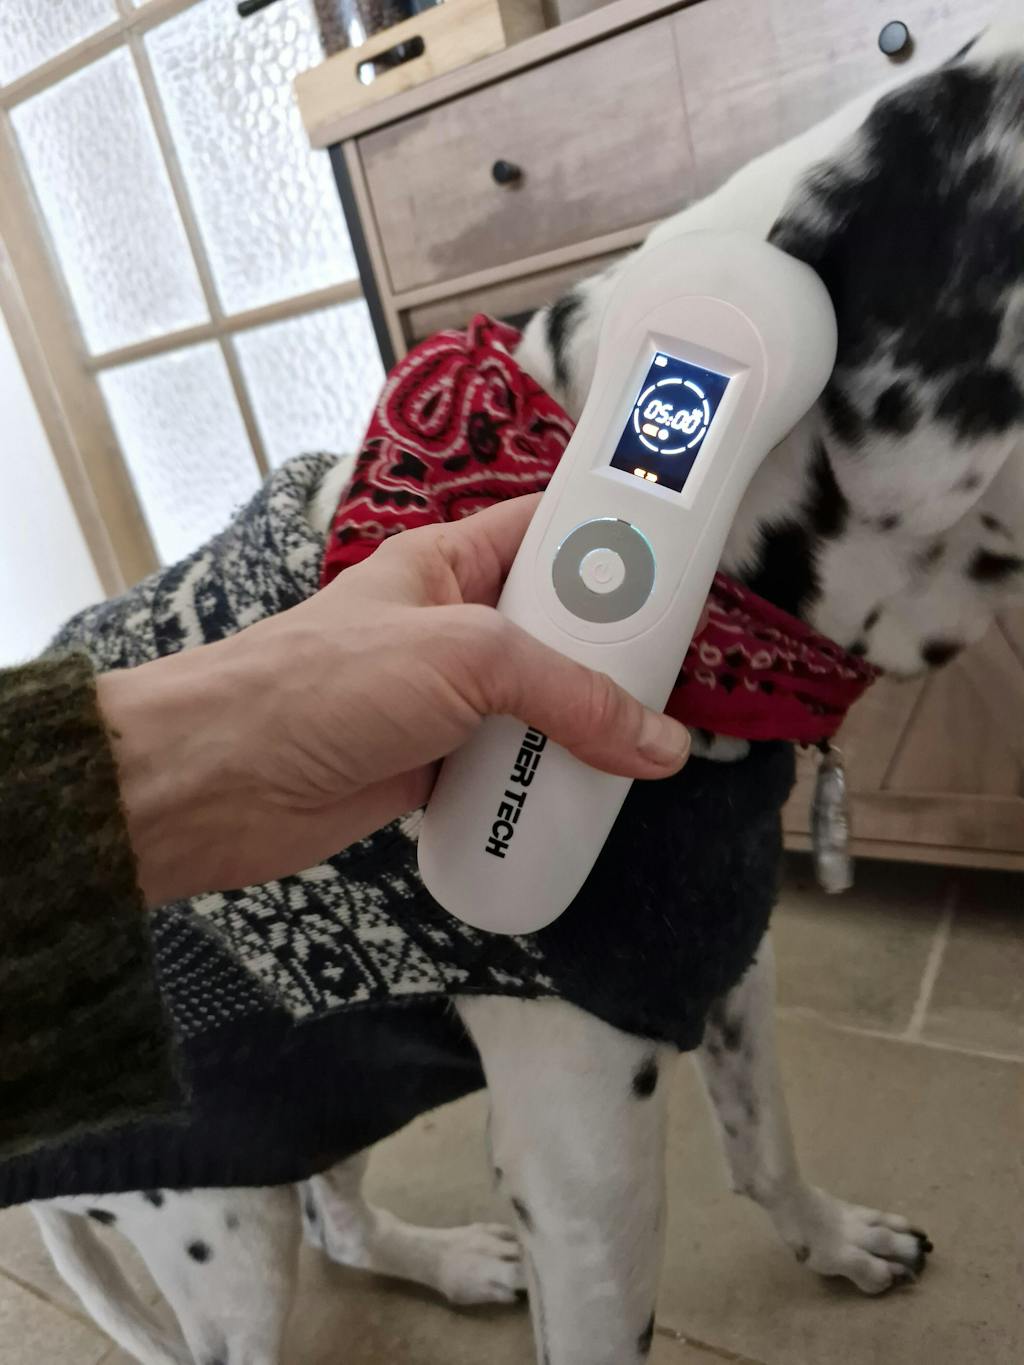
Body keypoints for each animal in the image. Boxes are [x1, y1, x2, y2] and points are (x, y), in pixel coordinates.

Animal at [23, 16, 1024, 1365]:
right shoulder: (585, 1158)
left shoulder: (722, 958)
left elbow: (765, 1143)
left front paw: (829, 1240)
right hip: (224, 1229)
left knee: (340, 1219)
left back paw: (444, 1260)